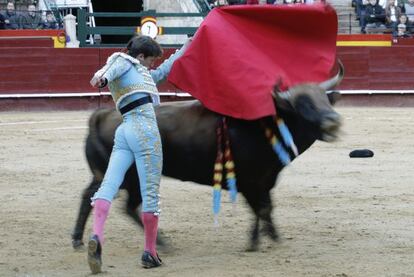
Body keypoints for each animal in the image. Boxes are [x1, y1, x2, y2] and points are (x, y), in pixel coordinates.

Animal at [73, 63, 344, 249]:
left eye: (325, 100)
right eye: (304, 104)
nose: (333, 122)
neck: (266, 125)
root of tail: (102, 116)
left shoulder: (265, 181)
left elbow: (267, 208)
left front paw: (272, 237)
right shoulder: (249, 182)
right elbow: (261, 209)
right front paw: (255, 242)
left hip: (108, 175)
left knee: (93, 197)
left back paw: (78, 239)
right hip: (130, 176)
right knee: (122, 204)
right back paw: (162, 243)